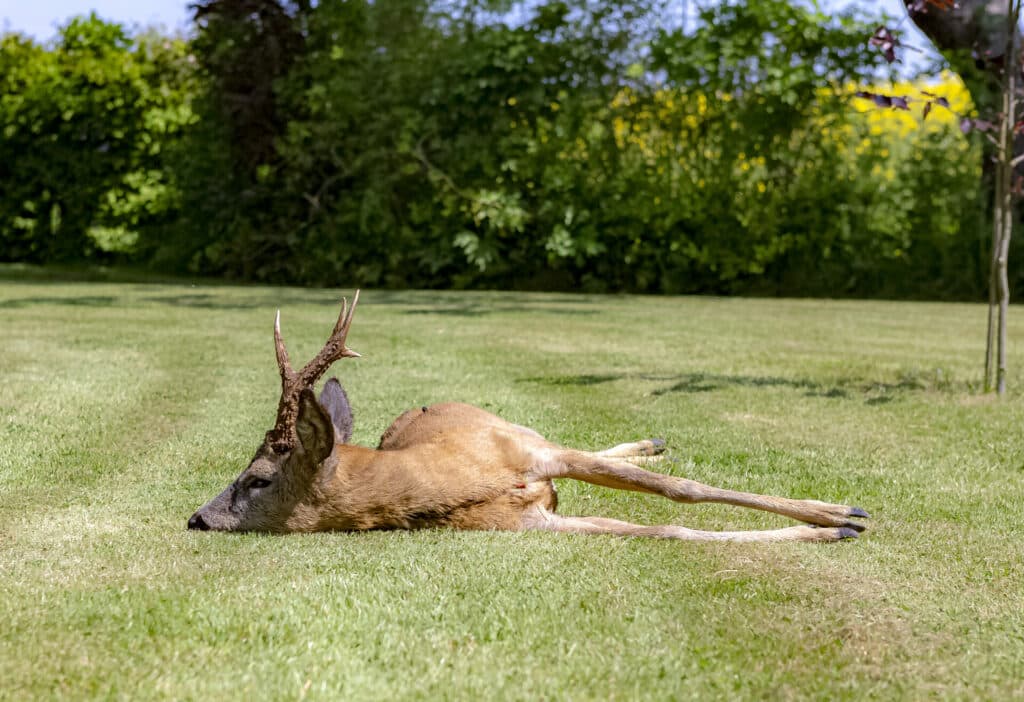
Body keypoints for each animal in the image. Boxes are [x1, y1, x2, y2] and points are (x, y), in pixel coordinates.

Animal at [188, 290, 868, 544]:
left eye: (256, 479)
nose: (196, 517)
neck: (463, 482)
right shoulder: (534, 524)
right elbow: (665, 529)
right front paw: (826, 531)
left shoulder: (536, 453)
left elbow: (681, 489)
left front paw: (838, 512)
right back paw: (651, 439)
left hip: (518, 427)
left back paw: (652, 440)